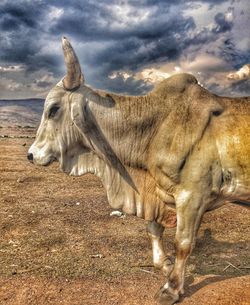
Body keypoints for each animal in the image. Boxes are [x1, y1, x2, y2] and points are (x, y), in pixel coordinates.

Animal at [27, 36, 250, 302]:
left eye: (53, 109)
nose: (31, 155)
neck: (157, 126)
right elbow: (153, 228)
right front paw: (163, 264)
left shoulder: (193, 196)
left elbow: (183, 243)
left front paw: (171, 288)